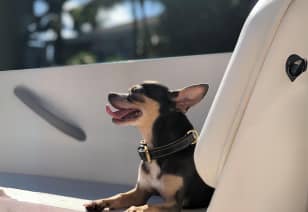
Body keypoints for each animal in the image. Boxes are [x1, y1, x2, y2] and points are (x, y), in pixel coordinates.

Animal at [85, 81, 214, 212]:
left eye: (136, 91)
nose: (110, 94)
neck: (157, 152)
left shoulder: (174, 203)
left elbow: (149, 206)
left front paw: (134, 209)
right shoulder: (140, 192)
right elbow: (119, 196)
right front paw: (100, 202)